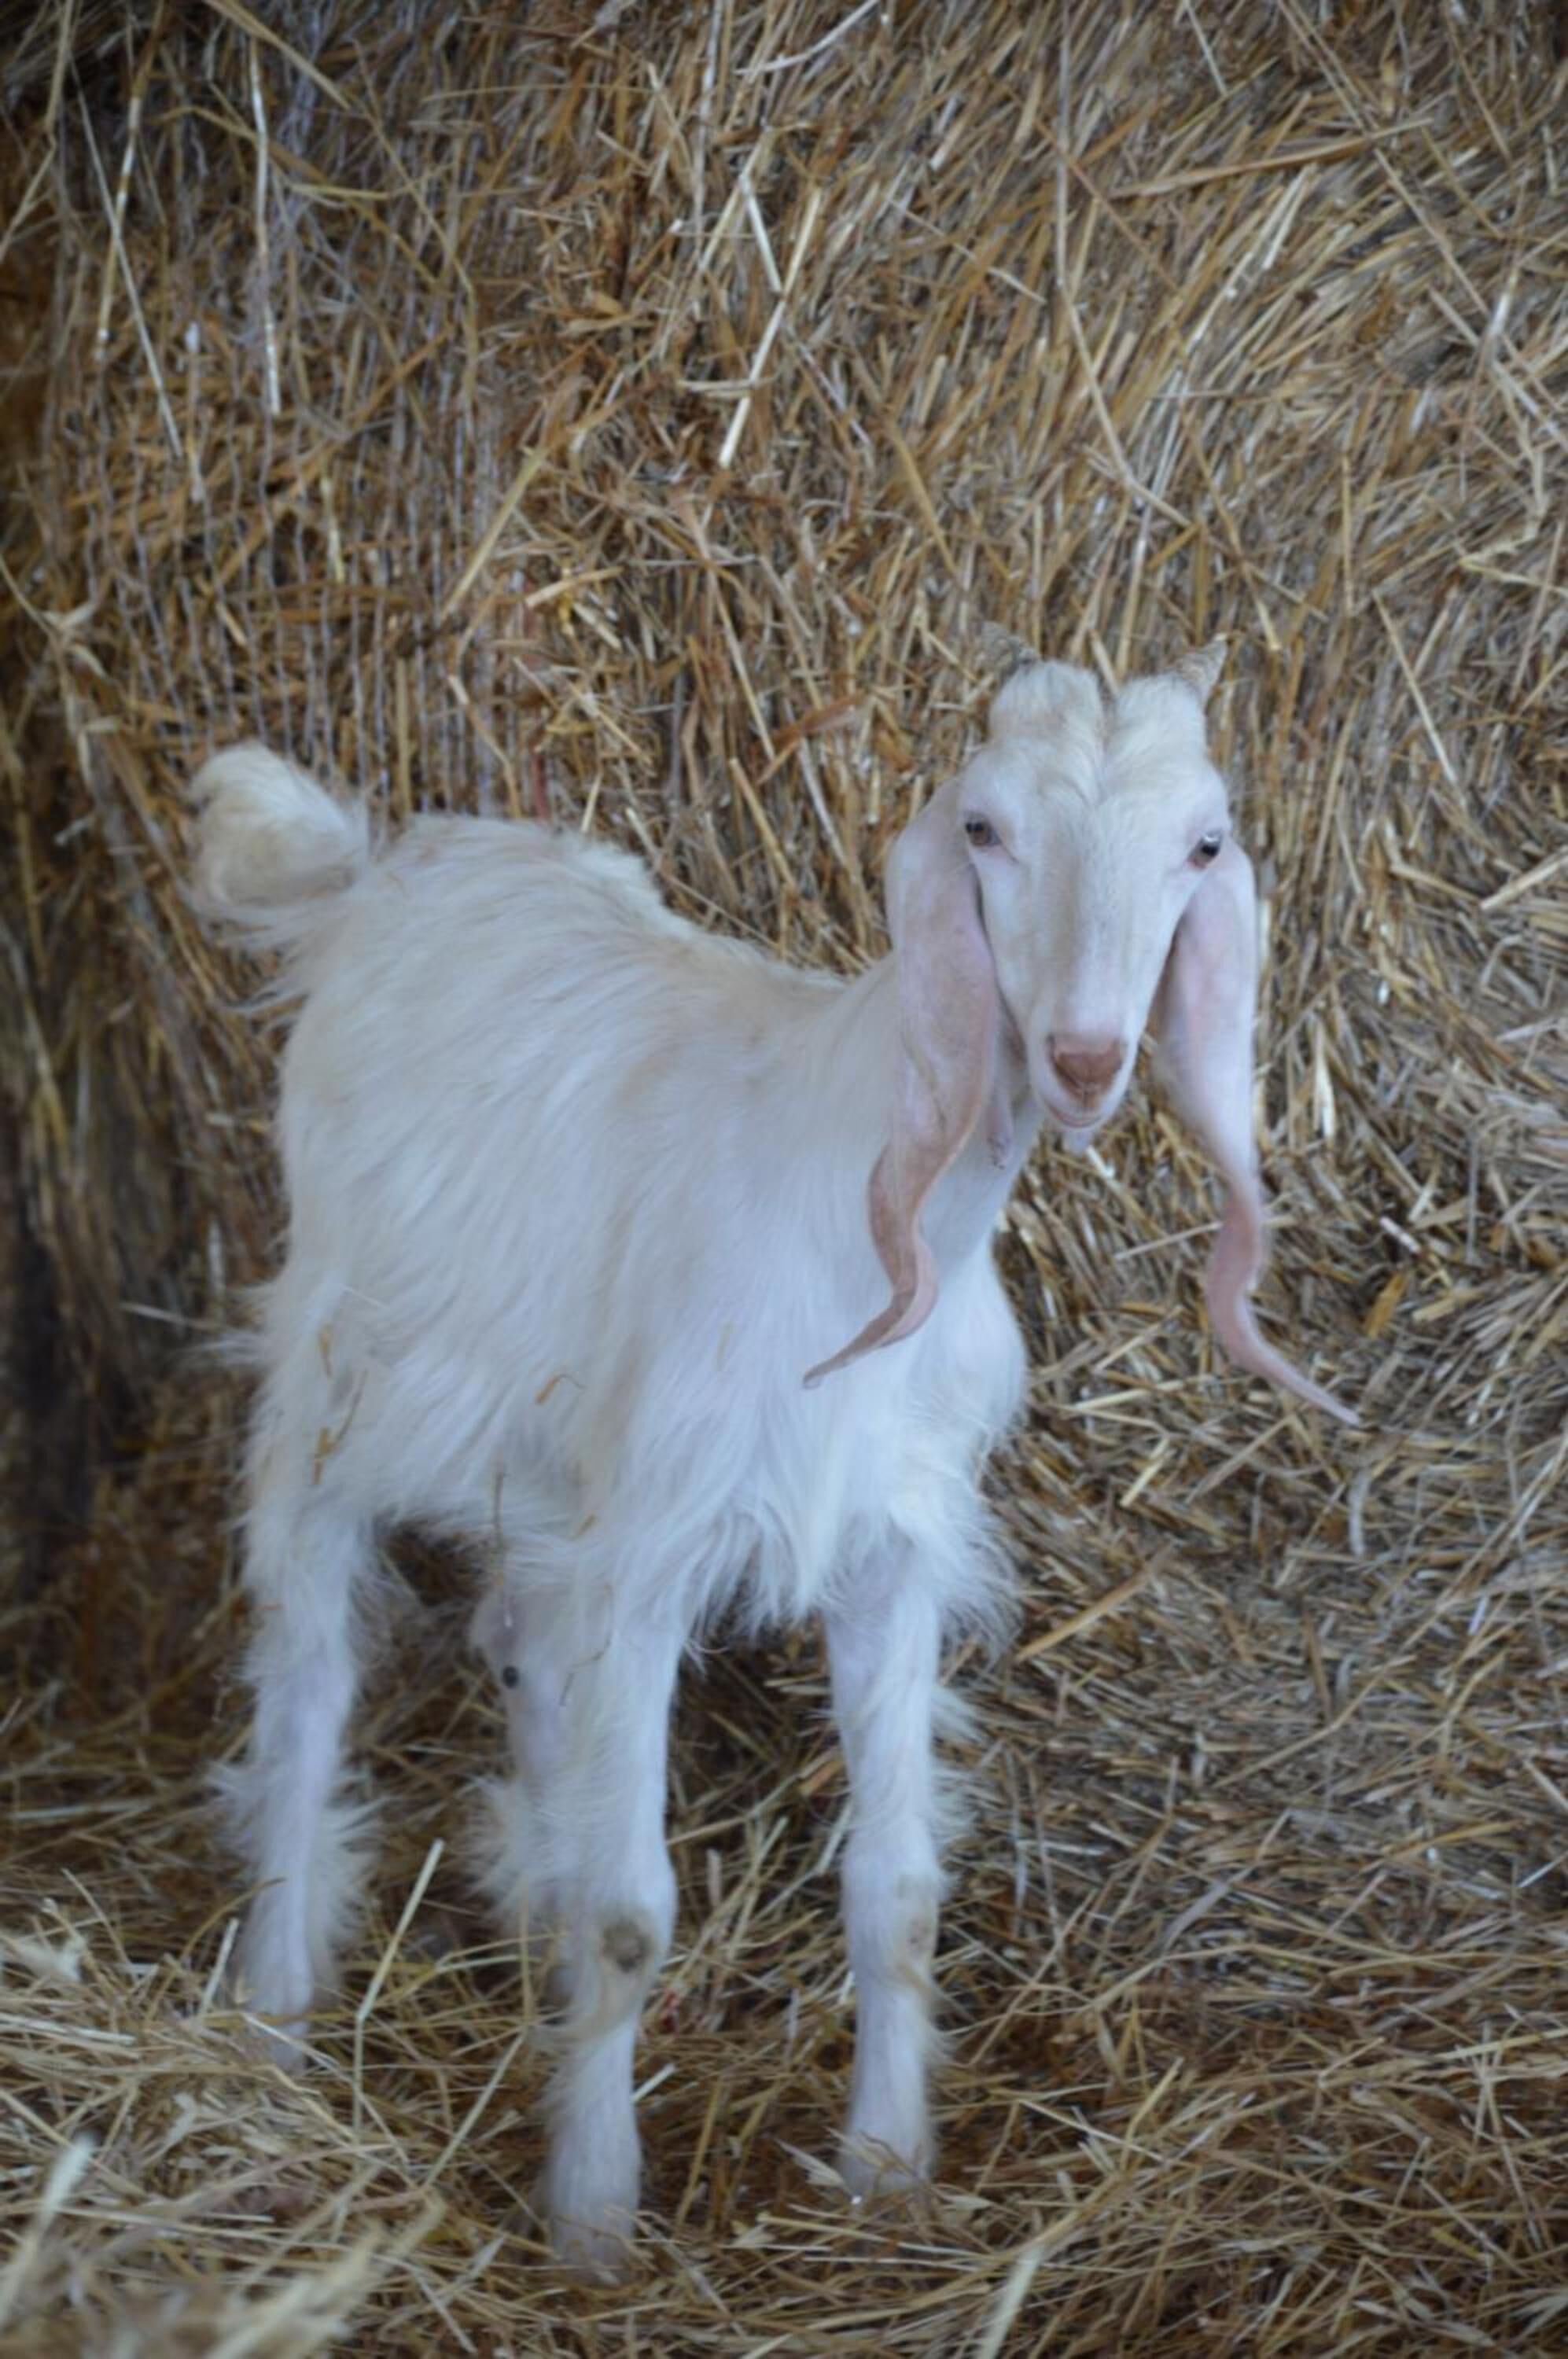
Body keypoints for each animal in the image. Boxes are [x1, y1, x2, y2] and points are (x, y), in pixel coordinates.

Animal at [194, 649, 1354, 2272]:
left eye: (1201, 846)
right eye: (984, 829)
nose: (1079, 1058)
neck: (861, 1196)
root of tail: (374, 866)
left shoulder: (886, 1551)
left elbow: (900, 1892)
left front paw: (883, 2169)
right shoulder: (650, 1549)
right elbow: (632, 1914)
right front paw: (595, 2221)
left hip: (544, 1455)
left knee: (520, 1636)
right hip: (333, 1371)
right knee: (306, 1668)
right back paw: (276, 2010)